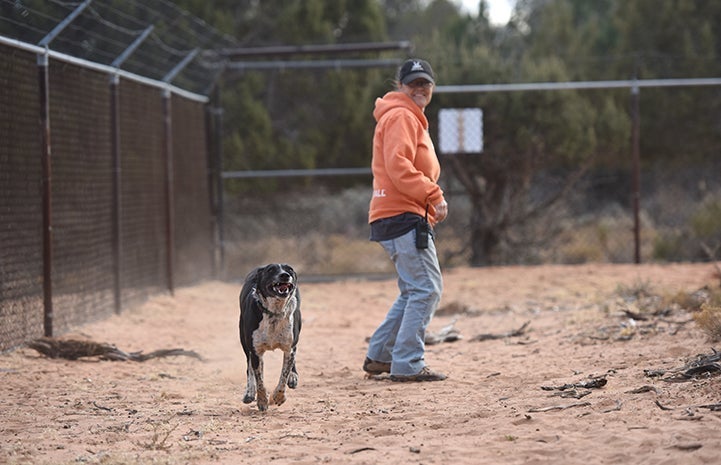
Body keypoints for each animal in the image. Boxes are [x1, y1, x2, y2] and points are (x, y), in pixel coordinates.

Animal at [239, 262, 300, 412]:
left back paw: (293, 377)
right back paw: (249, 392)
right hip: (244, 341)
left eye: (290, 269)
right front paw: (262, 400)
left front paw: (278, 397)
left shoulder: (290, 348)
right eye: (271, 270)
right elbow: (259, 378)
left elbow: (284, 375)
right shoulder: (255, 351)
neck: (274, 312)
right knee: (249, 367)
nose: (285, 275)